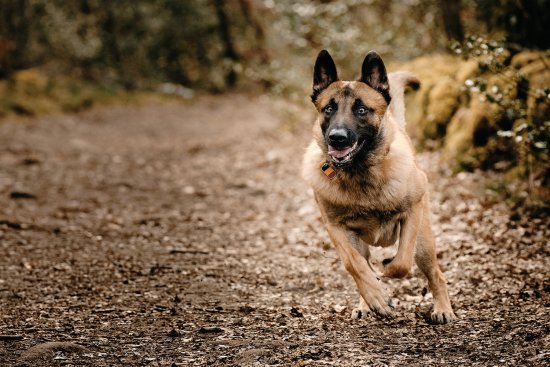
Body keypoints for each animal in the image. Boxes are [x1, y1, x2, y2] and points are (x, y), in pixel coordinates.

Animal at [302, 49, 458, 324]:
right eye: (329, 108)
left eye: (362, 110)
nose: (337, 138)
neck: (360, 172)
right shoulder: (336, 228)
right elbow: (354, 265)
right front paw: (376, 297)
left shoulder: (412, 213)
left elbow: (402, 262)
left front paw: (386, 269)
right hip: (360, 242)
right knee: (362, 263)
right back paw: (367, 302)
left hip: (424, 243)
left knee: (435, 274)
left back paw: (442, 309)